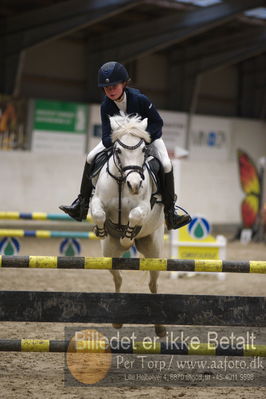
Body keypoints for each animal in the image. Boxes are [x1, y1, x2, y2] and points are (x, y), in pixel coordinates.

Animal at [91, 113, 166, 338]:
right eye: (118, 151)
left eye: (143, 150)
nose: (135, 185)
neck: (121, 182)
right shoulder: (97, 201)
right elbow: (99, 213)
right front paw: (102, 230)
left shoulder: (144, 207)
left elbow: (135, 215)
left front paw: (127, 237)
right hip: (108, 254)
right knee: (118, 278)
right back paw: (117, 320)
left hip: (154, 252)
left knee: (153, 283)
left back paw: (160, 327)